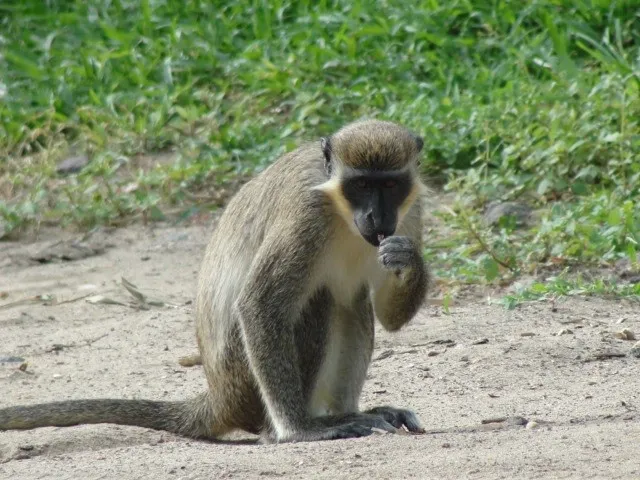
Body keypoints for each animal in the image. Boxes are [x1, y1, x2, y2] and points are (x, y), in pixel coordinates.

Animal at [1, 119, 430, 442]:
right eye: (361, 185)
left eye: (390, 185)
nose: (376, 217)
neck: (339, 208)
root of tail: (219, 395)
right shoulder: (305, 213)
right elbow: (259, 303)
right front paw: (298, 430)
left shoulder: (410, 211)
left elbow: (389, 316)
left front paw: (408, 258)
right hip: (244, 383)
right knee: (319, 300)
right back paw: (301, 426)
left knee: (352, 301)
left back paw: (353, 412)